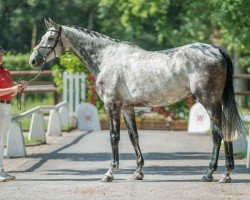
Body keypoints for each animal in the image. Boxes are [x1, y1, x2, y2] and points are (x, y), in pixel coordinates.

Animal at [28, 18, 244, 183]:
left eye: (50, 37)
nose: (33, 60)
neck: (107, 58)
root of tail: (216, 50)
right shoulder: (127, 108)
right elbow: (134, 137)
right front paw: (138, 172)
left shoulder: (112, 106)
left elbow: (114, 137)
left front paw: (110, 173)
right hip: (215, 103)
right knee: (223, 132)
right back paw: (223, 173)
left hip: (209, 102)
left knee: (218, 134)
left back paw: (213, 173)